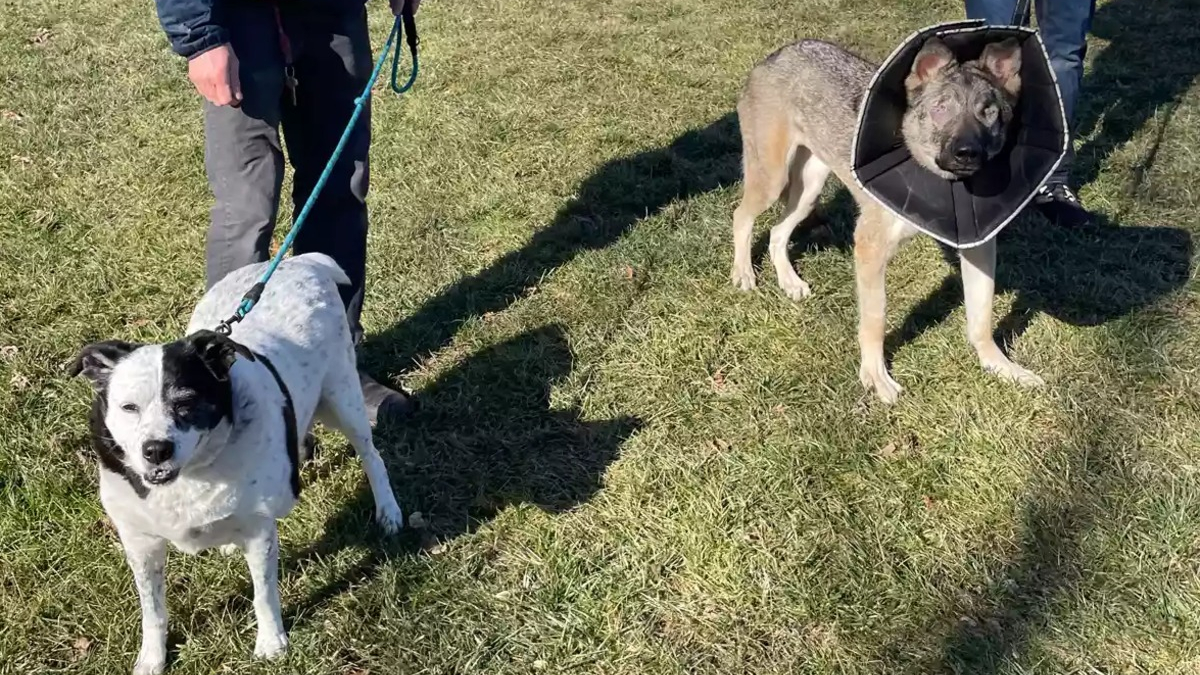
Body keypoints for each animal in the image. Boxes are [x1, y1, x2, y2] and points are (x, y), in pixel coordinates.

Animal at [71, 253, 408, 672]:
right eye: (128, 408)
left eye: (186, 402)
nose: (155, 450)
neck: (192, 475)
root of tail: (302, 261)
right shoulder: (140, 542)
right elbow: (153, 610)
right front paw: (152, 658)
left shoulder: (258, 533)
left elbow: (263, 593)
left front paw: (271, 643)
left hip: (342, 402)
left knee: (372, 456)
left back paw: (388, 511)